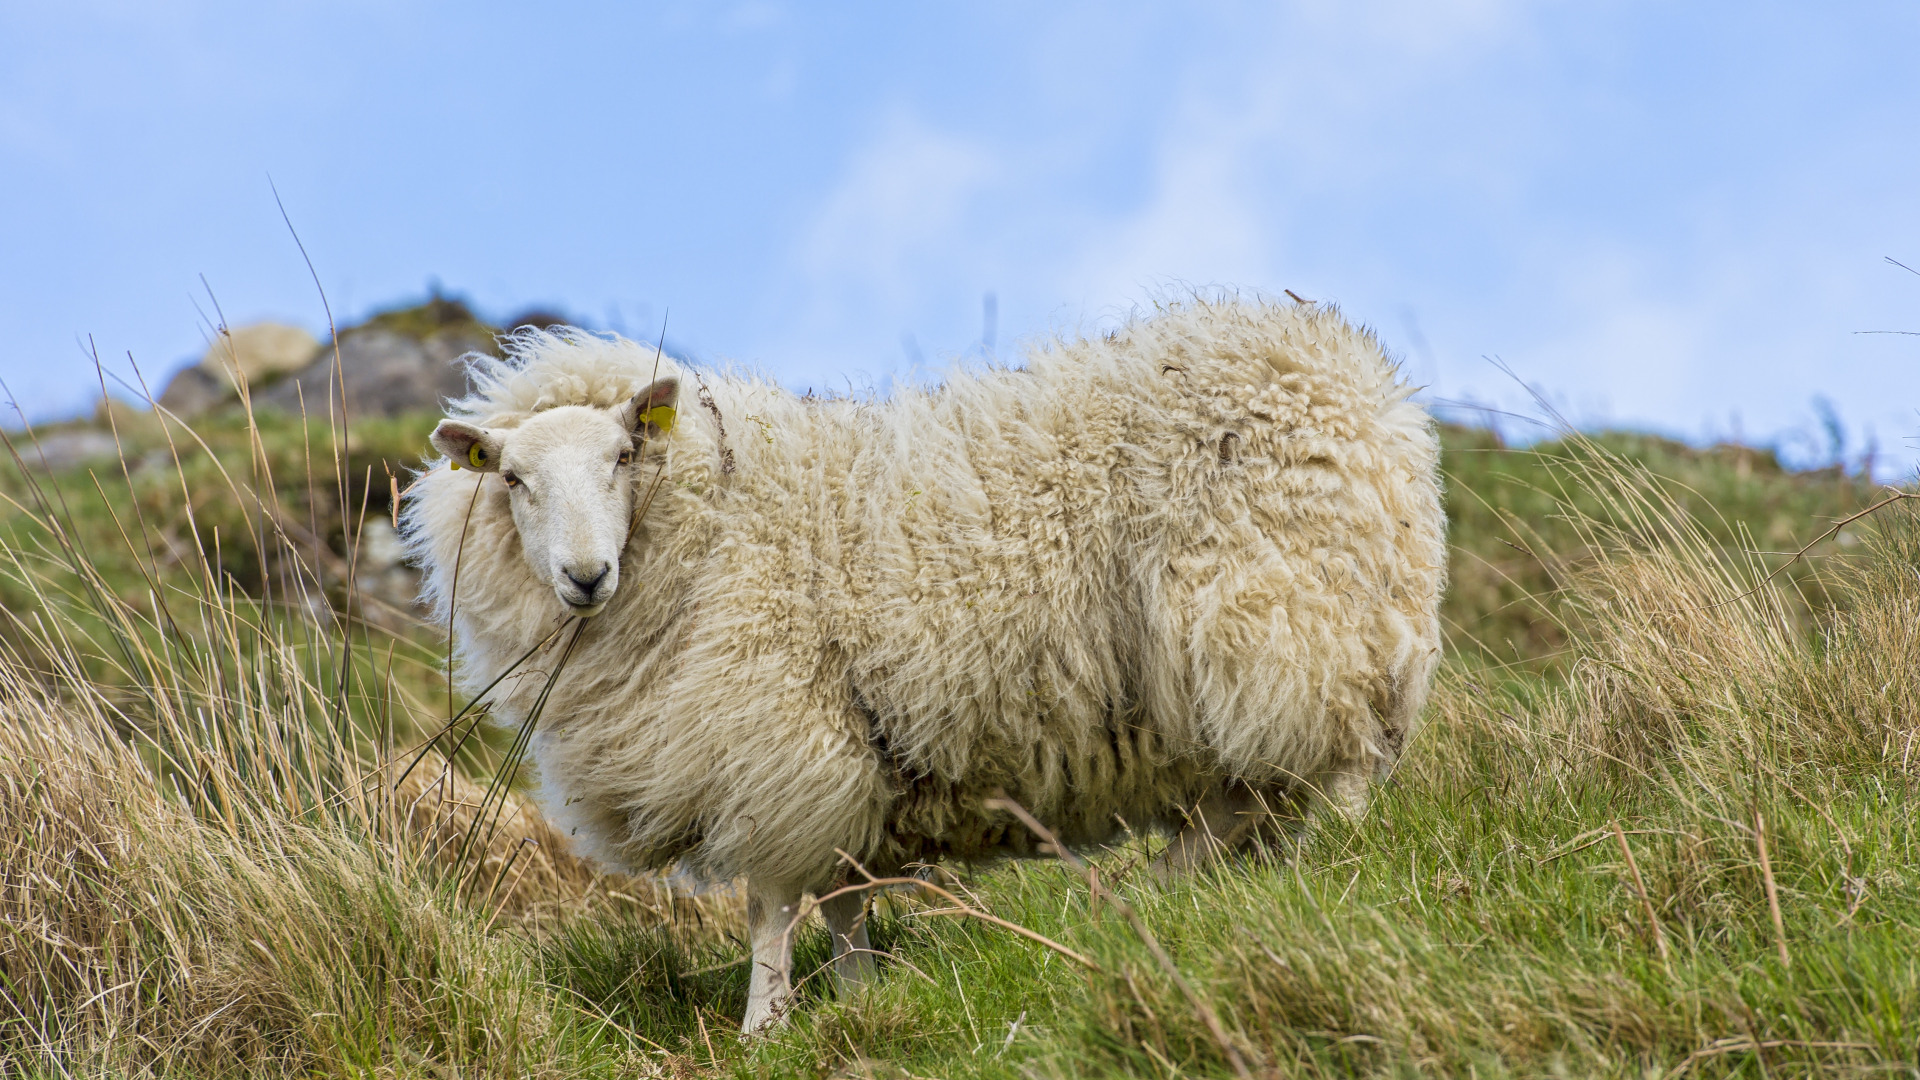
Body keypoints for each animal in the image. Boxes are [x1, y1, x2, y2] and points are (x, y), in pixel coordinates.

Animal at [401, 292, 1443, 1022]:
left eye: (623, 457)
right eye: (513, 480)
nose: (584, 575)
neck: (714, 518)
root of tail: (1367, 391)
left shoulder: (774, 744)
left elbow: (772, 907)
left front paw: (764, 1026)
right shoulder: (828, 768)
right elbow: (841, 902)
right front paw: (860, 1001)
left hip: (1290, 632)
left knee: (1326, 784)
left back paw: (1306, 884)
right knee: (1241, 805)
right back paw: (1170, 901)